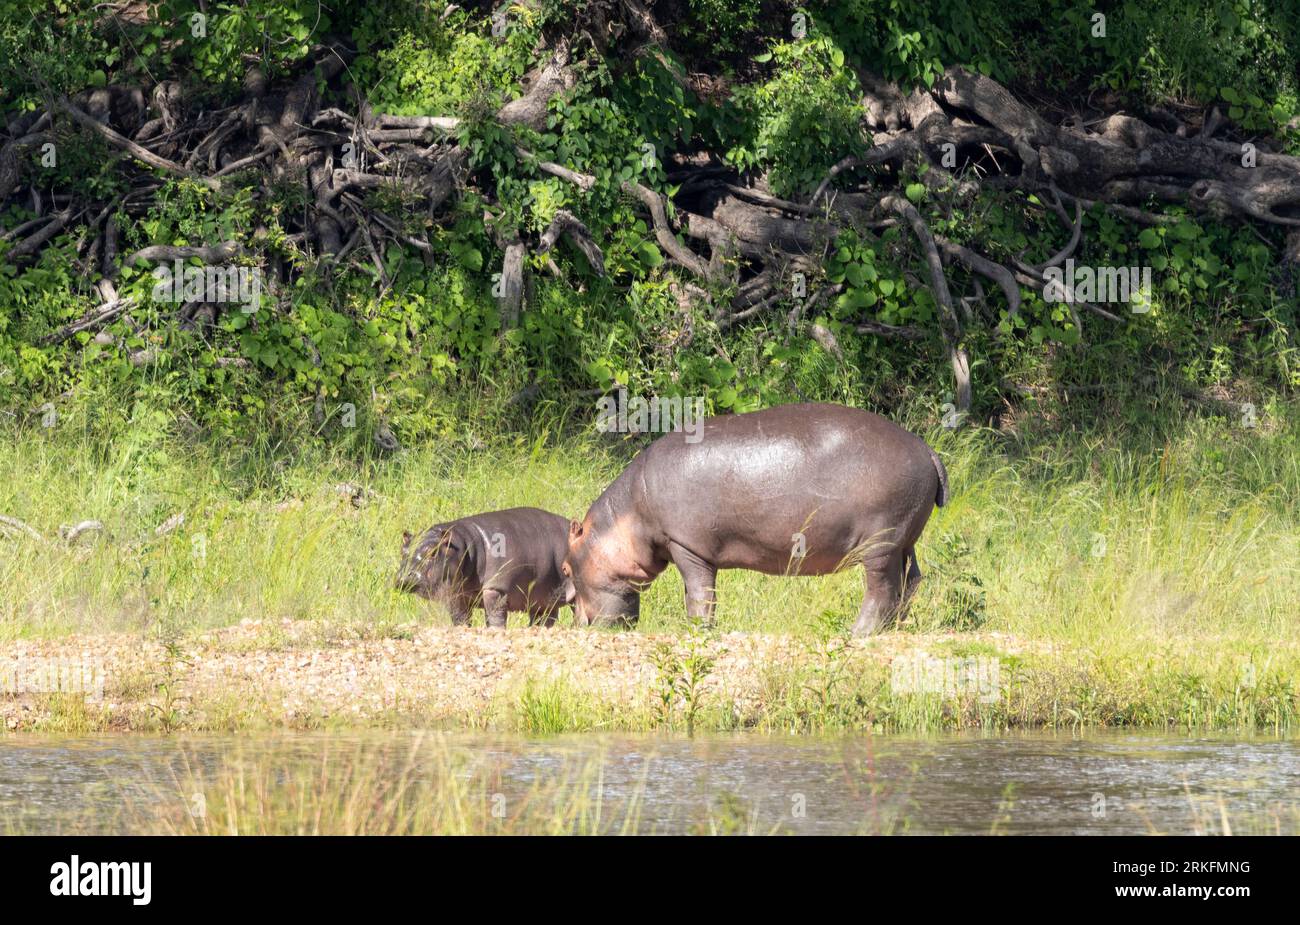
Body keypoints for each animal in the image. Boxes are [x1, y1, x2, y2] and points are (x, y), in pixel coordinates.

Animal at [395, 506, 574, 628]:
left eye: (432, 552)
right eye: (403, 550)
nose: (405, 577)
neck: (464, 547)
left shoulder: (496, 589)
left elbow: (495, 615)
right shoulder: (458, 594)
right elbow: (459, 617)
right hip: (543, 597)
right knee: (545, 617)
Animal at [564, 405, 951, 636]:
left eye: (566, 568)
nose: (578, 622)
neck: (627, 517)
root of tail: (926, 448)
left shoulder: (686, 546)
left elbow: (699, 594)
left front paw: (697, 630)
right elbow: (699, 593)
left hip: (880, 543)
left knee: (881, 588)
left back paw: (858, 633)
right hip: (904, 540)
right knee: (911, 580)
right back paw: (895, 628)